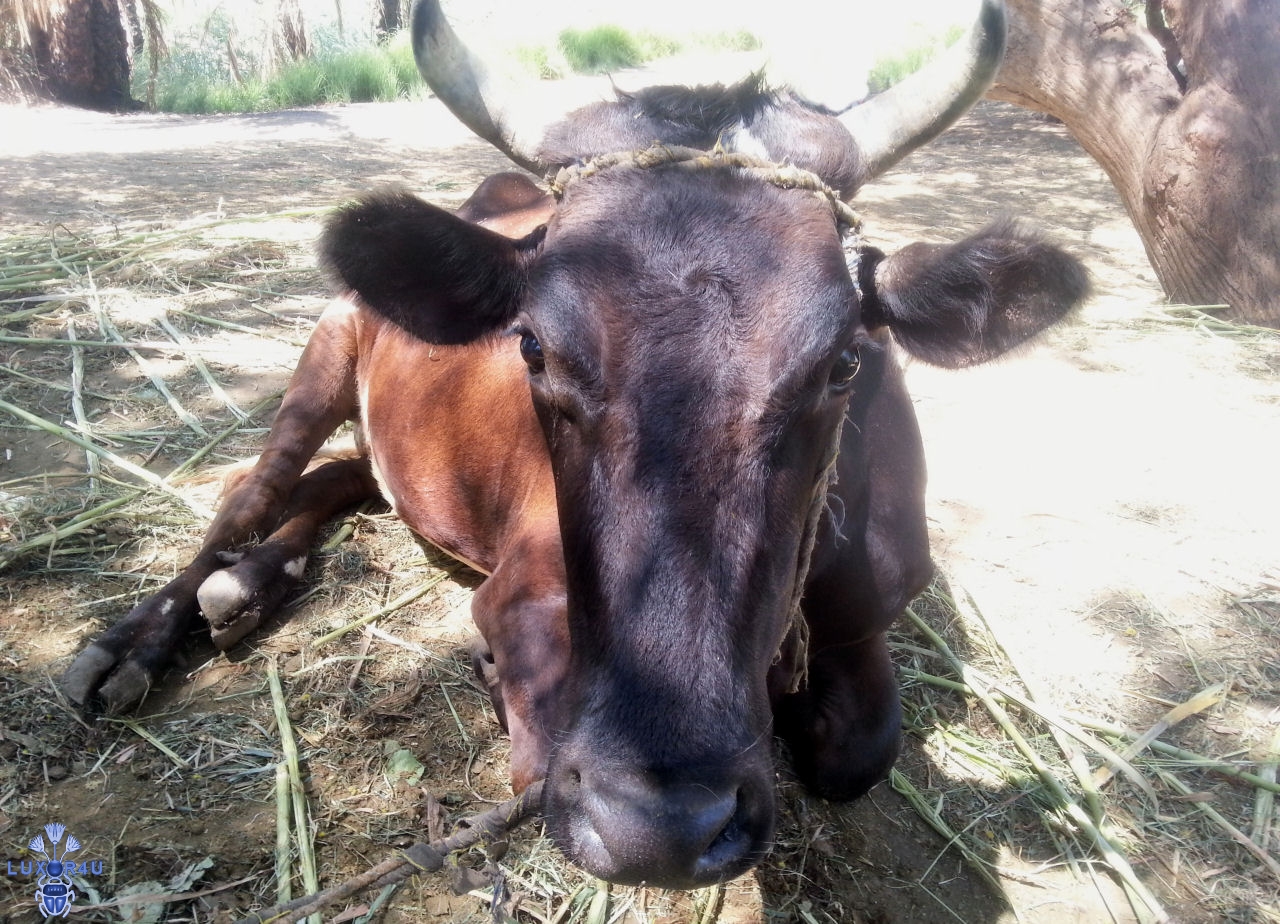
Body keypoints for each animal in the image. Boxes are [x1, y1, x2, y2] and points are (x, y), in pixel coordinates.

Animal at [62, 0, 1087, 890]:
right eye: (532, 346)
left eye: (844, 364)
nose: (660, 828)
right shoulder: (523, 603)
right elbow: (537, 744)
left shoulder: (875, 609)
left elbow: (860, 753)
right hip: (326, 345)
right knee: (253, 487)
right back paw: (133, 643)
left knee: (346, 478)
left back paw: (250, 580)